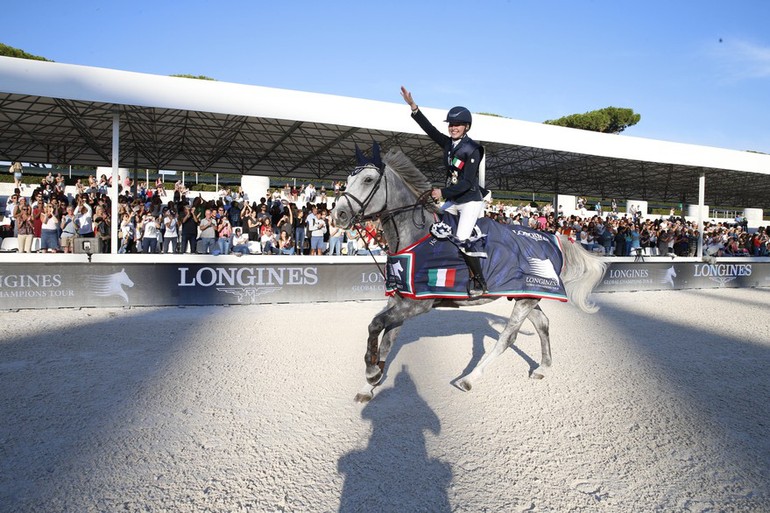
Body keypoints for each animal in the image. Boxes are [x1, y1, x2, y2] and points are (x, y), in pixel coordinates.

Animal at [330, 150, 608, 402]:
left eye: (368, 180)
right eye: (348, 178)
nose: (338, 215)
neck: (415, 236)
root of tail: (553, 237)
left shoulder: (418, 304)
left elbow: (375, 325)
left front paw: (371, 373)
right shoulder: (400, 300)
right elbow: (386, 339)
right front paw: (370, 384)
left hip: (525, 299)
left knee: (508, 337)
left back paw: (469, 379)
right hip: (526, 294)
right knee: (542, 324)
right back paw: (542, 368)